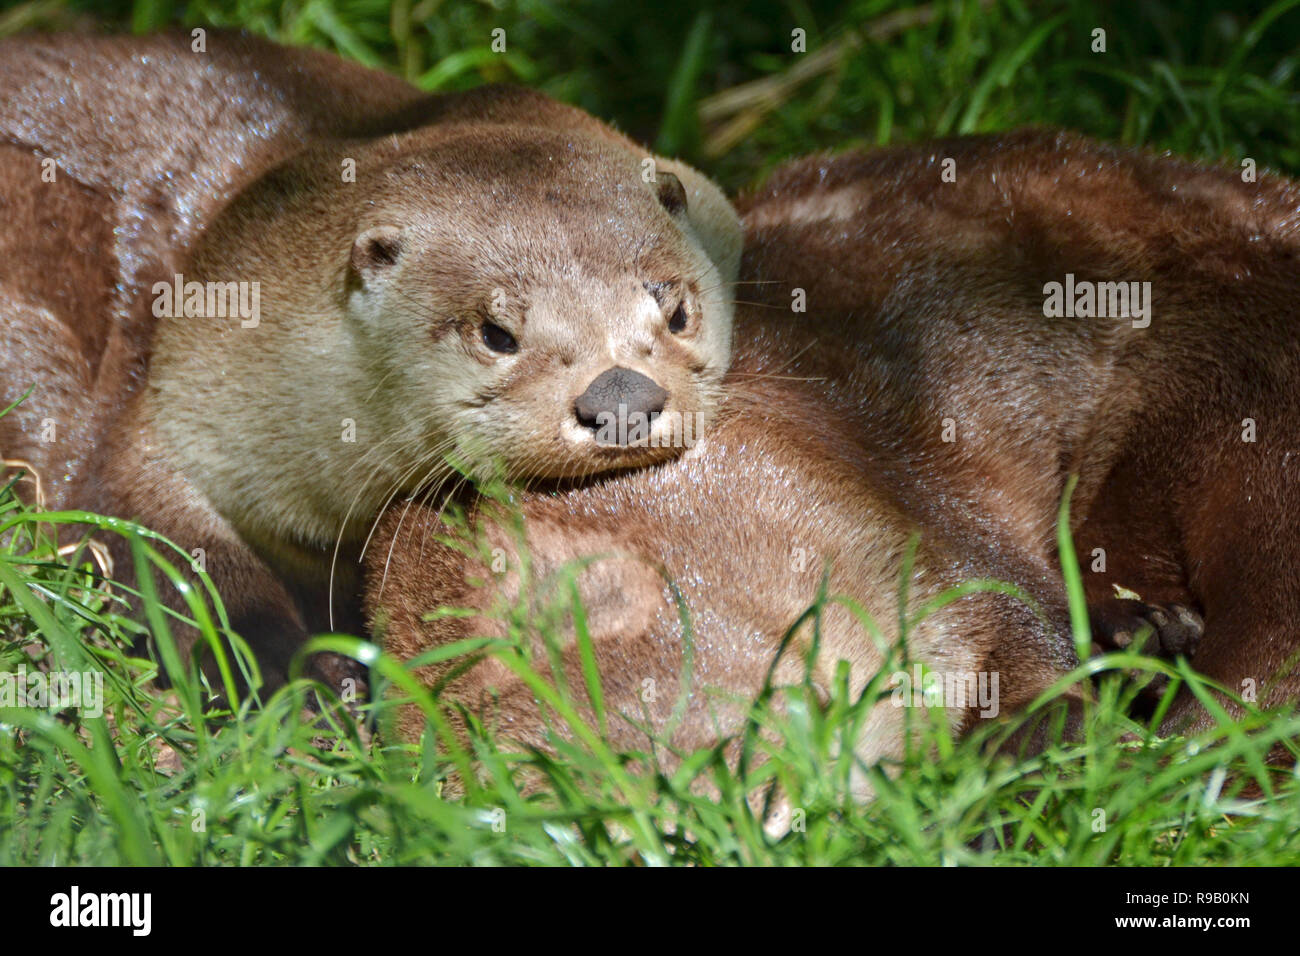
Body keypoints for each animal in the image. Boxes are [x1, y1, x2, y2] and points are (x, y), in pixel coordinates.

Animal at [0, 31, 743, 686]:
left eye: (677, 311)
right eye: (496, 333)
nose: (620, 397)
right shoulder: (174, 402)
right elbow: (153, 533)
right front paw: (284, 672)